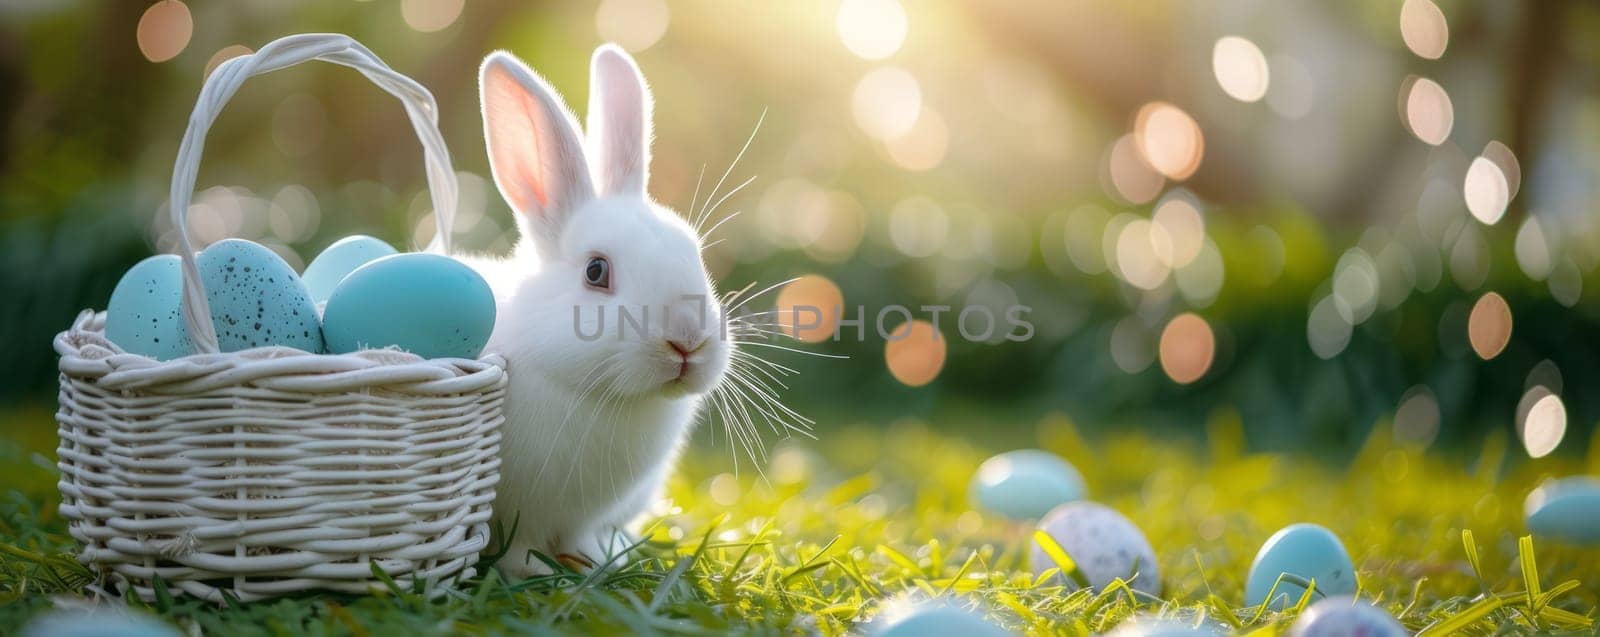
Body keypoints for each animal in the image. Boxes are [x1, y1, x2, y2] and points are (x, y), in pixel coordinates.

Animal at [460, 47, 732, 579]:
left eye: (694, 252)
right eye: (596, 271)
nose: (687, 341)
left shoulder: (582, 516)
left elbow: (580, 537)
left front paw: (598, 561)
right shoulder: (520, 512)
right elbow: (520, 546)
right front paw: (537, 571)